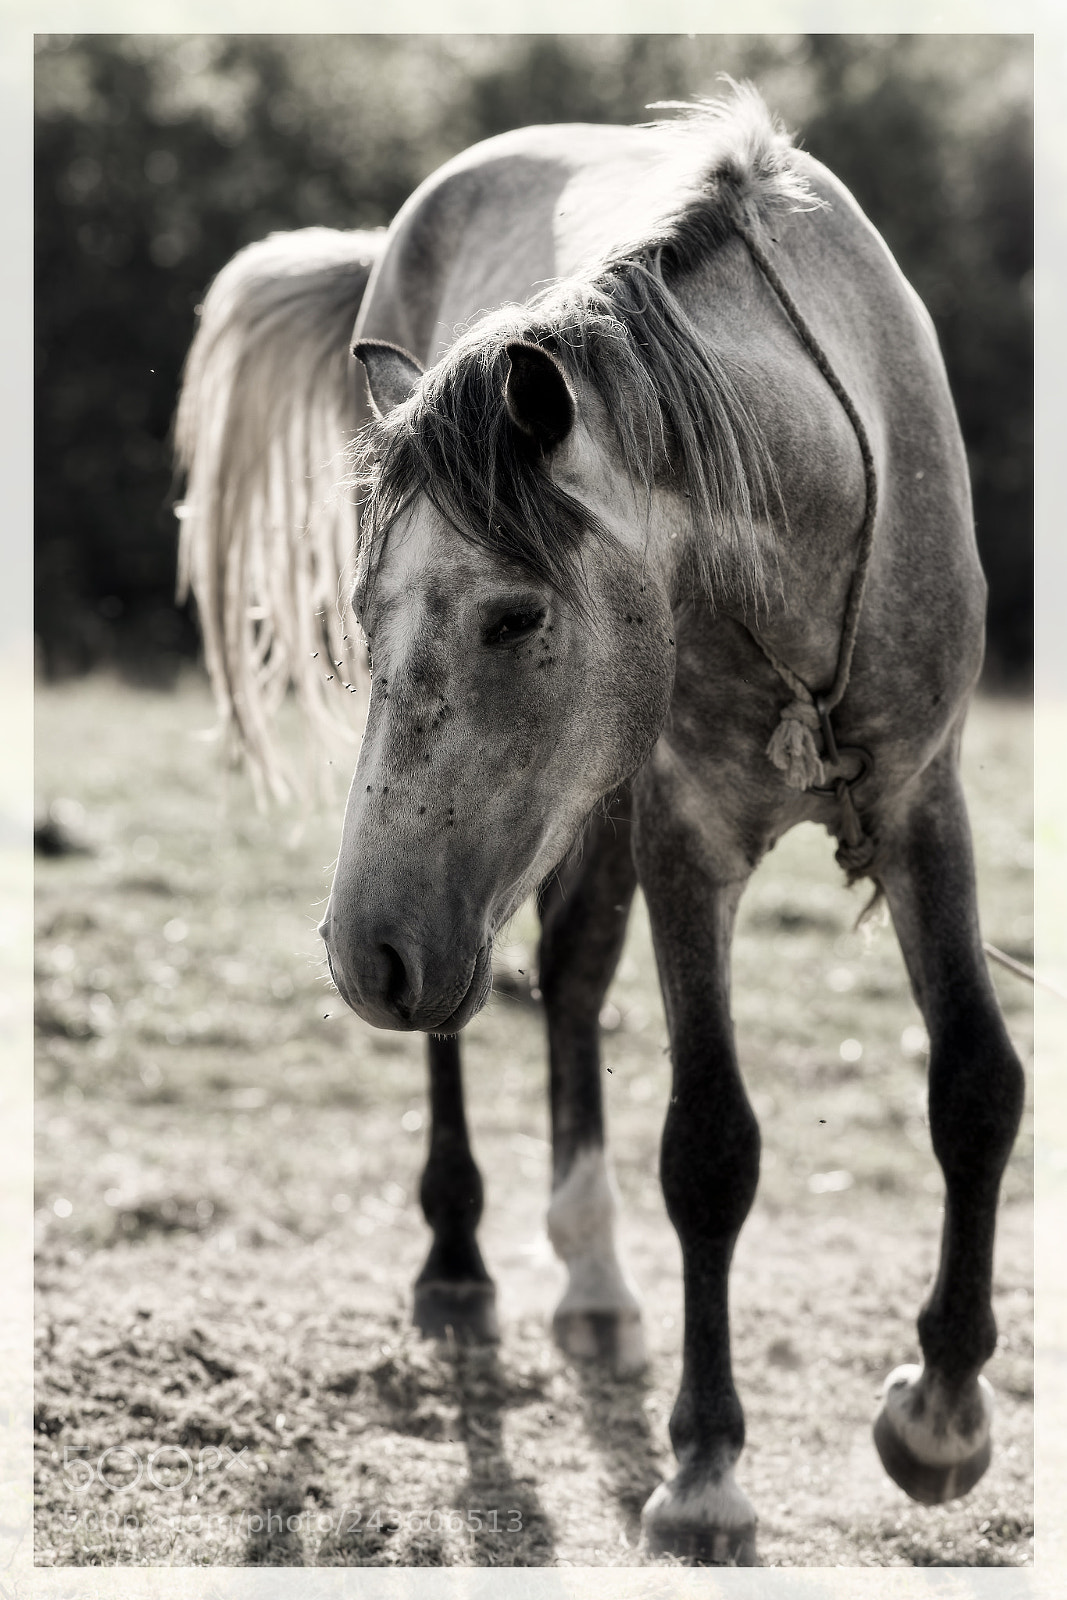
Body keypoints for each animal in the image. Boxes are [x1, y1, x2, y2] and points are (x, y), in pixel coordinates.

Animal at [176, 88, 1025, 1566]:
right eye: (361, 613)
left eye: (516, 613)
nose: (359, 949)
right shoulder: (688, 833)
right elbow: (709, 1146)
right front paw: (703, 1469)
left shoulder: (924, 801)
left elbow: (975, 1083)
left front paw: (940, 1420)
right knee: (462, 1019)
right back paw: (459, 1261)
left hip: (577, 827)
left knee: (562, 979)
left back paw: (590, 1278)